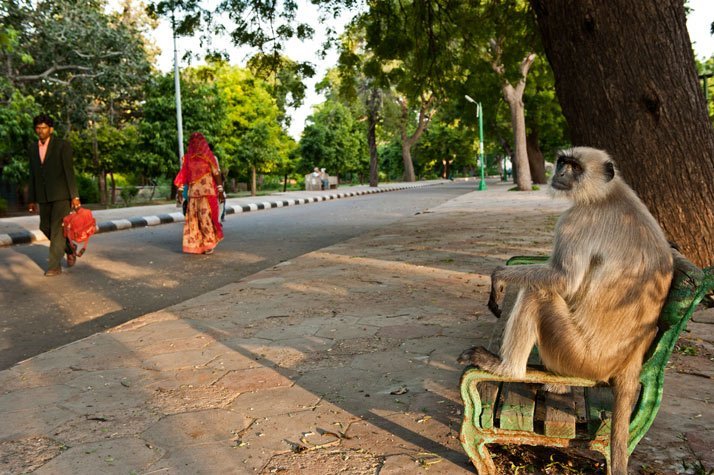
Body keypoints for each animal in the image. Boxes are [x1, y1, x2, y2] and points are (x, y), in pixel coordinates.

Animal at [458, 147, 673, 475]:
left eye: (575, 167)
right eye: (563, 162)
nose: (559, 173)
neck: (607, 194)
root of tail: (631, 359)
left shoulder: (577, 220)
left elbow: (563, 280)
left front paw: (500, 276)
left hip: (576, 353)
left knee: (537, 292)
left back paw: (507, 368)